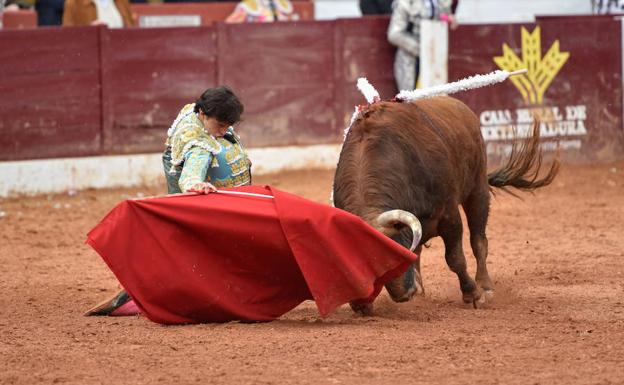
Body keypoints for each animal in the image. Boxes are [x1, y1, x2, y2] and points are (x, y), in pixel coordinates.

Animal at [334, 95, 560, 312]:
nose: (403, 295)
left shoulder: (449, 216)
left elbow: (455, 258)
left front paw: (472, 294)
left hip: (477, 190)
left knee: (479, 242)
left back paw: (485, 286)